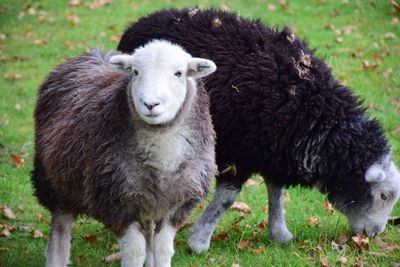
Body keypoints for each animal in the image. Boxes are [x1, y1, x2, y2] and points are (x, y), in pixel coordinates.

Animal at [117, 9, 398, 254]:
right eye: (384, 195)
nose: (373, 235)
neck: (314, 117)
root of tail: (144, 21)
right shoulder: (238, 150)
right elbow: (227, 199)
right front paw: (199, 242)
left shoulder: (273, 149)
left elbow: (276, 191)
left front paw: (278, 232)